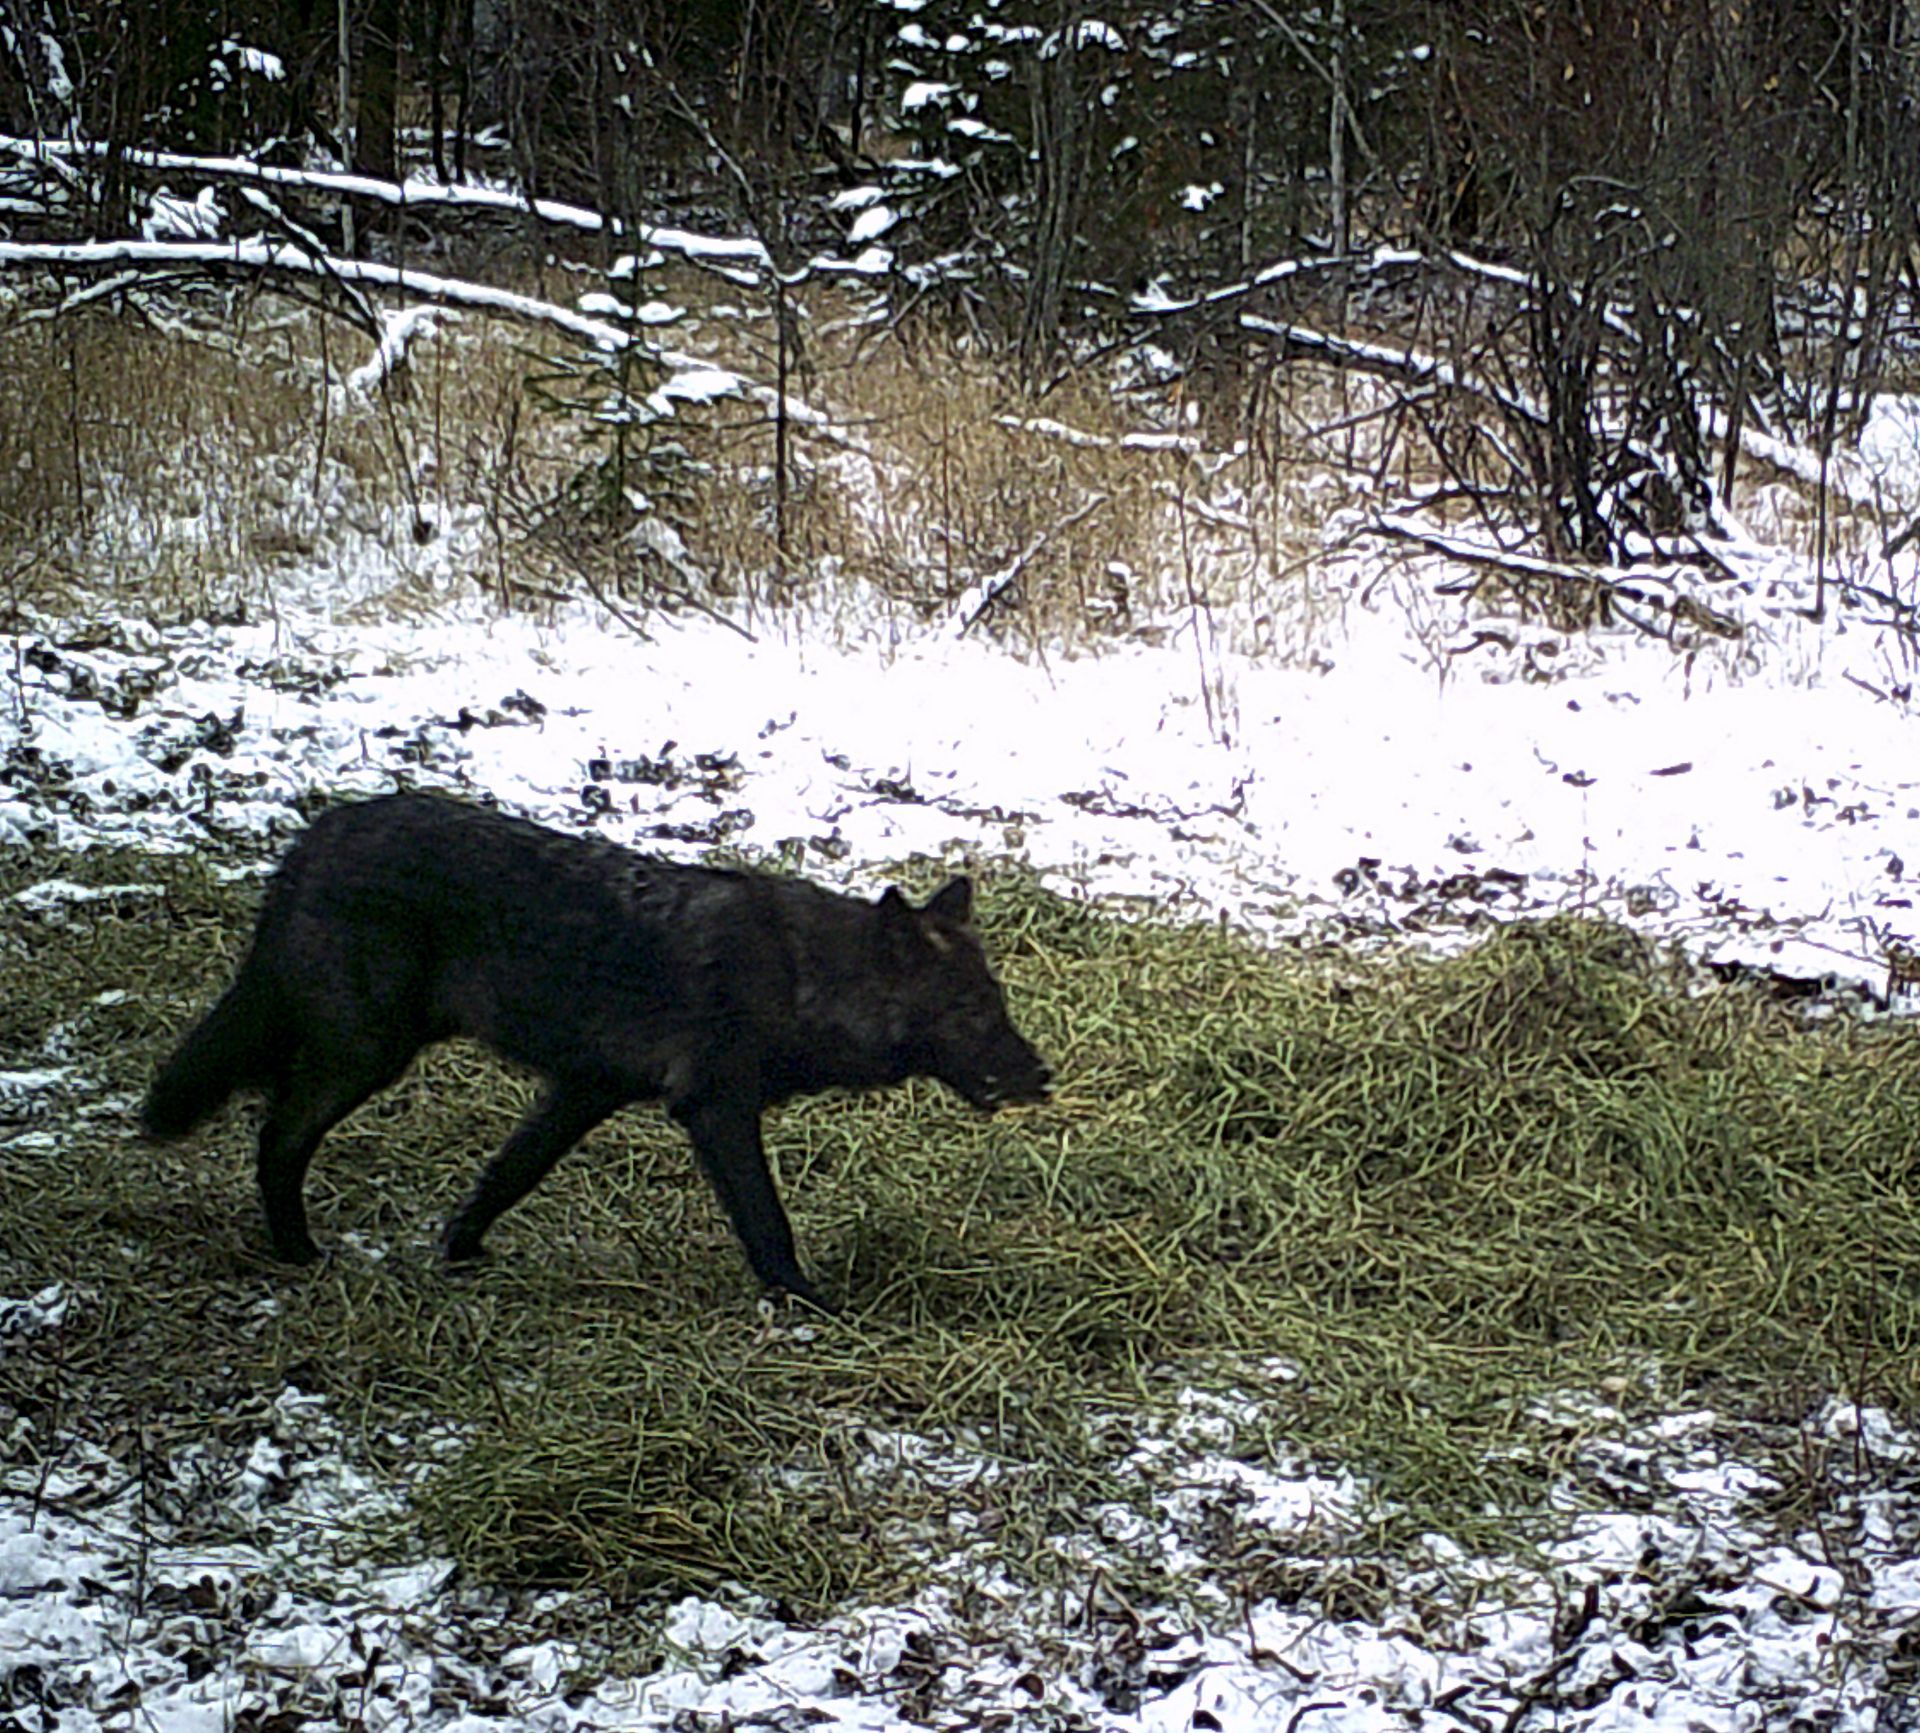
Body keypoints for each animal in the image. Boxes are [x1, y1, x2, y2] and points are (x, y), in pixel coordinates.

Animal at [141, 792, 1050, 1309]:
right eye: (971, 1012)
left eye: (998, 1003)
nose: (1042, 1074)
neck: (801, 977)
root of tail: (311, 838)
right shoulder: (715, 1108)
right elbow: (768, 1222)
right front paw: (810, 1304)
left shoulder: (583, 1089)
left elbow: (507, 1173)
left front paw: (461, 1248)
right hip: (367, 1053)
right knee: (277, 1134)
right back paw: (299, 1254)